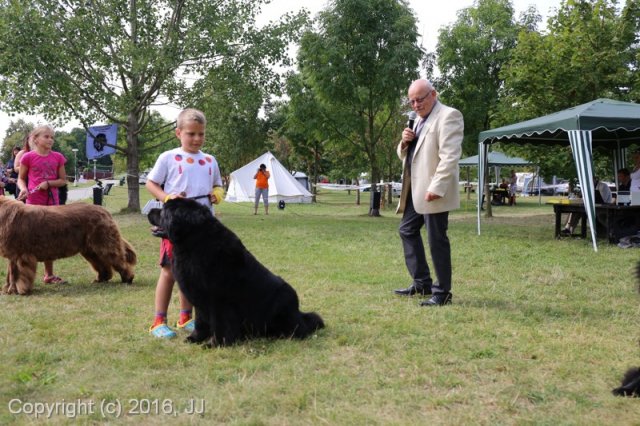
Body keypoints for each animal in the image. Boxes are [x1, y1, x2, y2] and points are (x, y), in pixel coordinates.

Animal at [0, 196, 136, 292]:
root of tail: (104, 210)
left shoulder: (19, 254)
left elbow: (15, 274)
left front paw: (16, 290)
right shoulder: (13, 254)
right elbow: (10, 273)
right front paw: (8, 289)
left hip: (104, 243)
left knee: (119, 261)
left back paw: (127, 279)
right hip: (91, 249)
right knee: (102, 264)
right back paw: (101, 279)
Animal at [147, 198, 322, 348]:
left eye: (163, 211)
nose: (149, 211)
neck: (194, 245)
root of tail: (299, 312)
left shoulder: (218, 300)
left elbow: (219, 324)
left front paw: (215, 344)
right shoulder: (199, 298)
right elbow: (201, 321)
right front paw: (195, 338)